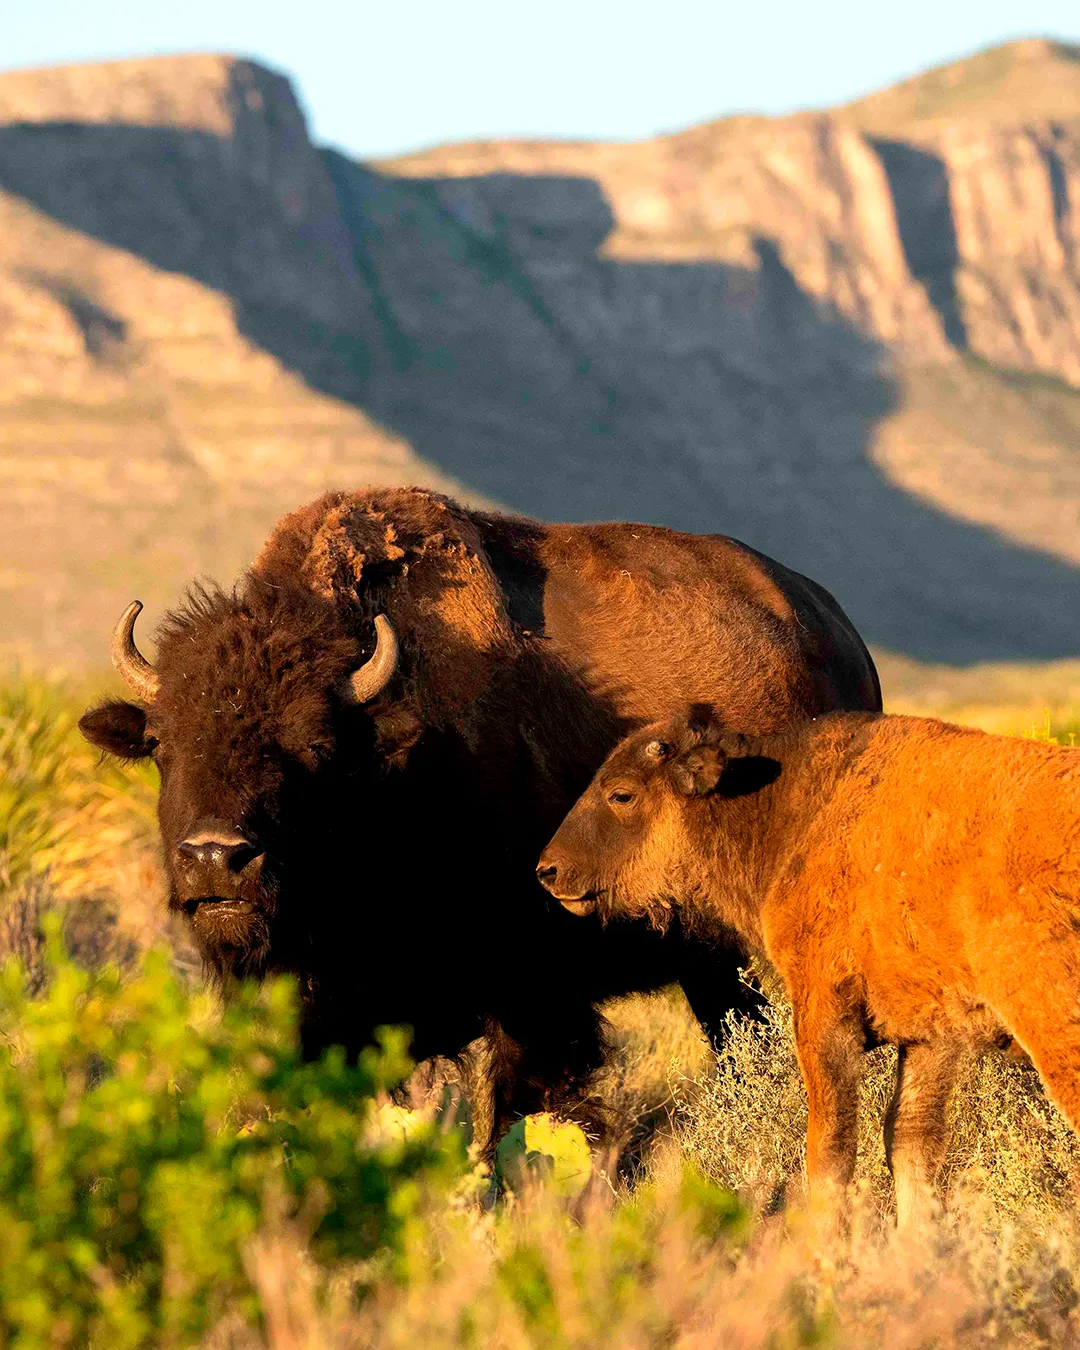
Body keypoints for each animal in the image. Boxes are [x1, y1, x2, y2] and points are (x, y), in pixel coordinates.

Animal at [540, 712, 1080, 1231]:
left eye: (622, 793)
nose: (548, 871)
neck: (795, 810)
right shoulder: (931, 1035)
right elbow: (911, 1144)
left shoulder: (824, 1012)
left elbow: (830, 1149)